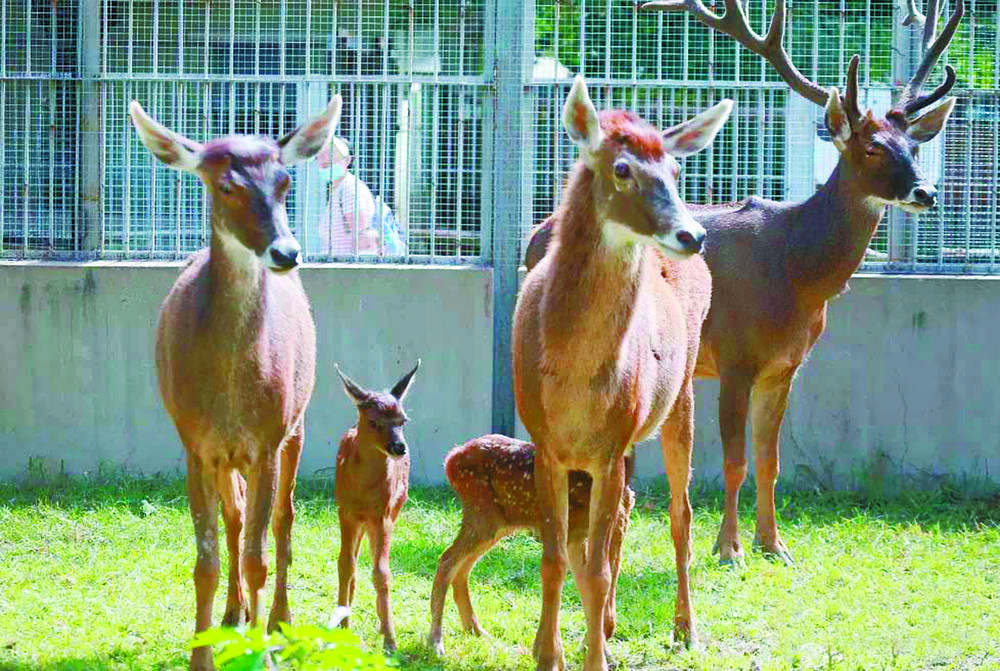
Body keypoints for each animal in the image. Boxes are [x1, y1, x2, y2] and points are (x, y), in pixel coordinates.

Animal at [130, 96, 341, 670]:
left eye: (286, 180)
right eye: (225, 185)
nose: (286, 252)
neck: (229, 395)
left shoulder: (268, 437)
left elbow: (258, 555)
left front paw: (263, 651)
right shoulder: (194, 442)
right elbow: (205, 559)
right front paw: (200, 654)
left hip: (298, 424)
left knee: (283, 521)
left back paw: (278, 620)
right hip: (227, 454)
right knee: (236, 516)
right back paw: (233, 614)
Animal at [333, 360, 420, 655]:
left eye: (403, 420)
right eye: (373, 421)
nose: (399, 447)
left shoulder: (382, 516)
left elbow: (382, 572)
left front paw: (391, 640)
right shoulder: (345, 511)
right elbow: (345, 565)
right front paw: (342, 626)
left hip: (393, 512)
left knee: (375, 563)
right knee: (355, 560)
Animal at [427, 436, 636, 658]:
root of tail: (451, 459)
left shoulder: (613, 525)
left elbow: (595, 586)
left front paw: (597, 649)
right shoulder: (573, 529)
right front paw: (547, 650)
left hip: (499, 523)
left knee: (461, 567)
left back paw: (475, 630)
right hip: (482, 514)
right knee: (447, 560)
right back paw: (436, 642)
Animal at [513, 75, 732, 670]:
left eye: (676, 170)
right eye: (621, 168)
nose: (693, 235)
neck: (571, 380)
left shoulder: (608, 446)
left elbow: (593, 567)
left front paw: (592, 659)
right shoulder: (546, 445)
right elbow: (555, 557)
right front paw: (547, 652)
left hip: (681, 395)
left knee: (679, 514)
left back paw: (684, 629)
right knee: (623, 520)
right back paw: (608, 624)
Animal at [621, 0, 961, 564]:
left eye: (913, 145)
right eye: (871, 148)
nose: (926, 192)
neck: (795, 273)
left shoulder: (785, 367)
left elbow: (769, 460)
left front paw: (774, 545)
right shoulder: (736, 356)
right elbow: (734, 461)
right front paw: (729, 549)